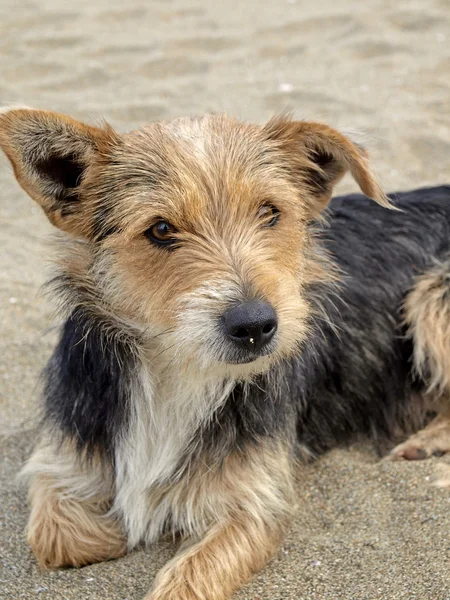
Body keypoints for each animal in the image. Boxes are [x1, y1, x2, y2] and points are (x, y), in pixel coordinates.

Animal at [0, 108, 450, 600]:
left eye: (270, 212)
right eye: (161, 229)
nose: (255, 325)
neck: (178, 373)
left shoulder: (256, 499)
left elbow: (187, 578)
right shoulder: (64, 455)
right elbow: (56, 537)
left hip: (431, 296)